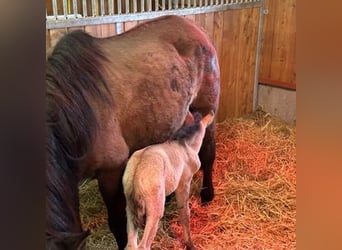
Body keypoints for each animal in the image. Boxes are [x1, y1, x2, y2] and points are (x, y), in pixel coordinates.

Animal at [46, 14, 219, 249]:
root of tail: (195, 26)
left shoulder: (111, 172)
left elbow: (118, 222)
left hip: (206, 107)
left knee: (208, 152)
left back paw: (207, 194)